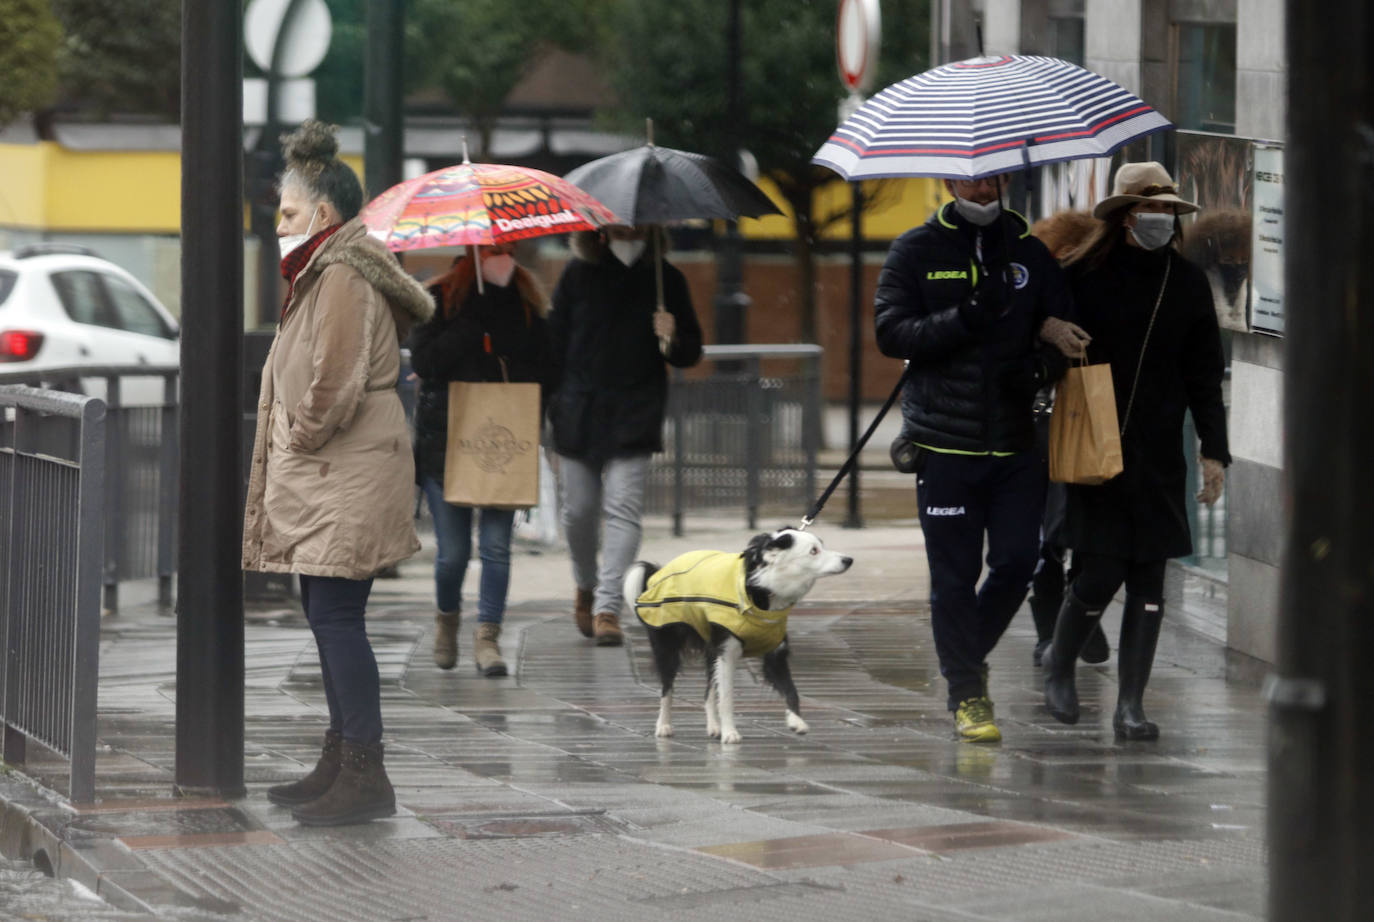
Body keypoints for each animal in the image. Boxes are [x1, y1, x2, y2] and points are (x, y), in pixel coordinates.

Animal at [621, 527, 846, 741]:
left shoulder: (775, 653)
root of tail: (657, 575)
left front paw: (795, 720)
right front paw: (730, 733)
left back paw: (714, 727)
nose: (848, 560)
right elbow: (727, 696)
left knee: (708, 690)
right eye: (814, 551)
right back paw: (663, 726)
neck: (762, 593)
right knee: (667, 688)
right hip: (667, 646)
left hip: (710, 646)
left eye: (822, 546)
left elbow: (791, 689)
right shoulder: (727, 652)